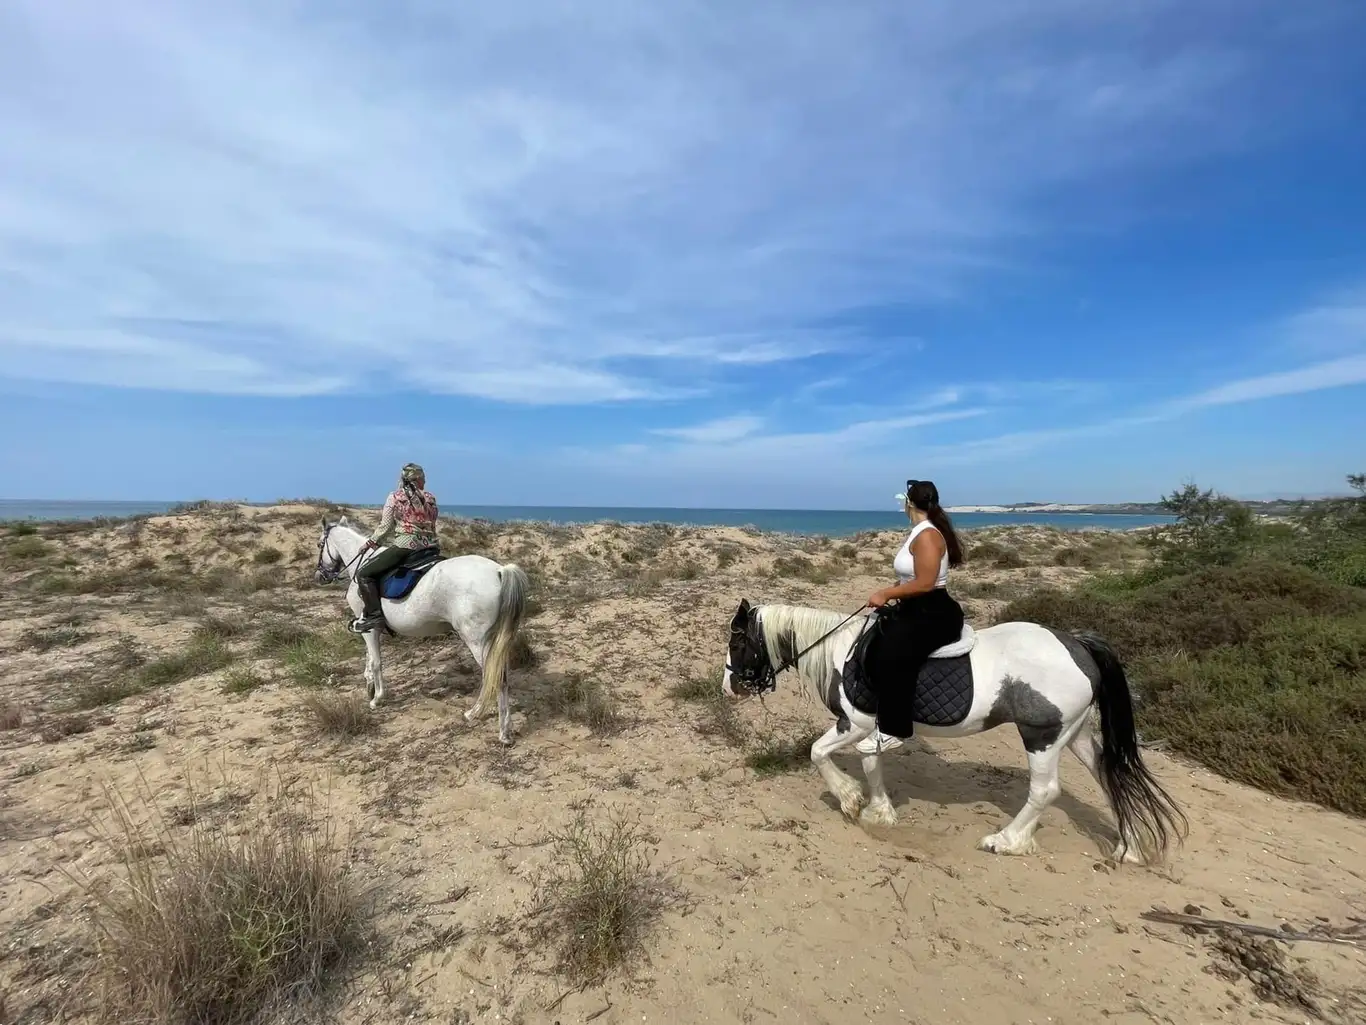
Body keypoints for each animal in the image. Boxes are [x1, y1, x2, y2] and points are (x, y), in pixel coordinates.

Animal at [314, 517, 530, 744]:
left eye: (320, 544)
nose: (319, 576)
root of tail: (499, 571)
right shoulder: (368, 626)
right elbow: (369, 659)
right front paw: (369, 686)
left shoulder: (369, 628)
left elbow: (376, 662)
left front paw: (377, 698)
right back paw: (483, 717)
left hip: (477, 641)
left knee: (495, 677)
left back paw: (496, 728)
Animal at [722, 598, 1188, 865]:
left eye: (737, 643)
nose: (728, 688)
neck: (843, 651)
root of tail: (1077, 644)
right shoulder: (870, 729)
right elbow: (872, 763)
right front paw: (879, 811)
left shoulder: (855, 723)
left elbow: (819, 753)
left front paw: (850, 800)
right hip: (1074, 735)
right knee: (1110, 776)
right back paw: (1129, 846)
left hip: (1042, 734)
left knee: (1045, 791)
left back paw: (1007, 841)